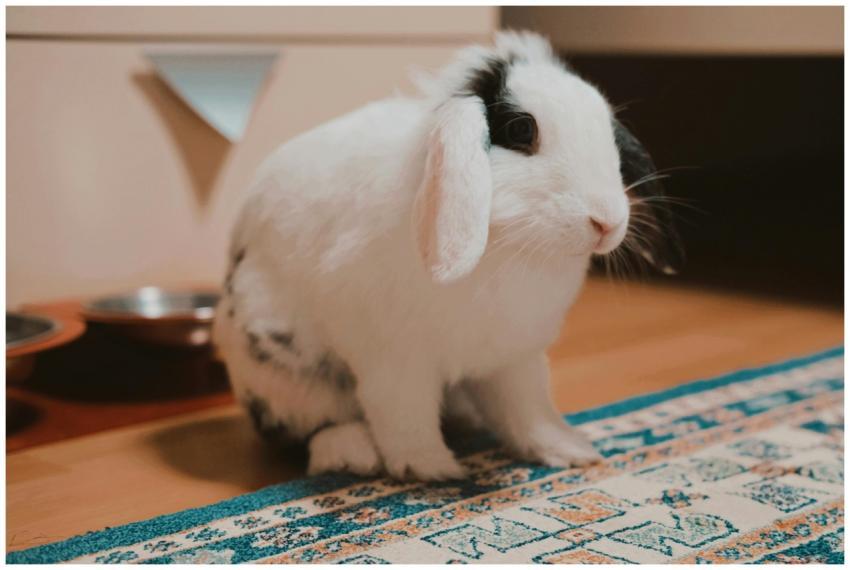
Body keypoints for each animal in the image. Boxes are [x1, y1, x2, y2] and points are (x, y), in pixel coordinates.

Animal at [213, 31, 680, 481]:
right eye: (521, 130)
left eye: (609, 133)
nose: (607, 222)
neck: (510, 247)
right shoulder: (395, 360)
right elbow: (403, 416)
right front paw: (433, 470)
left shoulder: (514, 360)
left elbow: (528, 411)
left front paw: (571, 451)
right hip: (286, 377)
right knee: (314, 428)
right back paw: (353, 454)